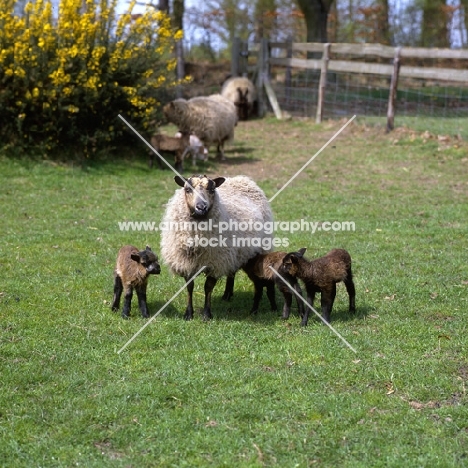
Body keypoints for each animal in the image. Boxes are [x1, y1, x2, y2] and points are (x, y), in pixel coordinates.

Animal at [160, 174, 272, 320]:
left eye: (212, 190)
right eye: (187, 189)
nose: (201, 207)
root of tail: (240, 178)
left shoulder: (216, 261)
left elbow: (208, 287)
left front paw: (207, 314)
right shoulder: (186, 262)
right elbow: (190, 287)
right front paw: (188, 313)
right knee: (231, 271)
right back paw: (227, 295)